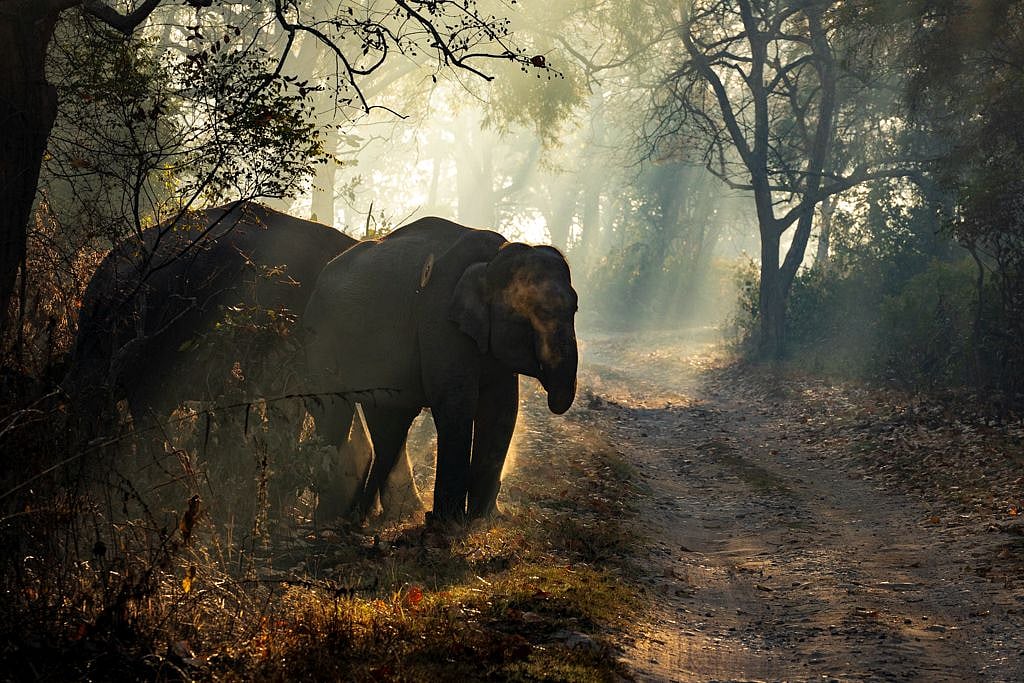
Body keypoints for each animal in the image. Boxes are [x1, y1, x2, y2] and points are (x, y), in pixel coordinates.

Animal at [302, 217, 579, 522]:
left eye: (575, 310)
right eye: (541, 312)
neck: (494, 257)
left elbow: (502, 409)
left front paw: (479, 521)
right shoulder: (440, 320)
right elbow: (456, 404)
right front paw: (449, 523)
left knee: (388, 424)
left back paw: (357, 518)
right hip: (321, 334)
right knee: (333, 412)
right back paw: (329, 519)